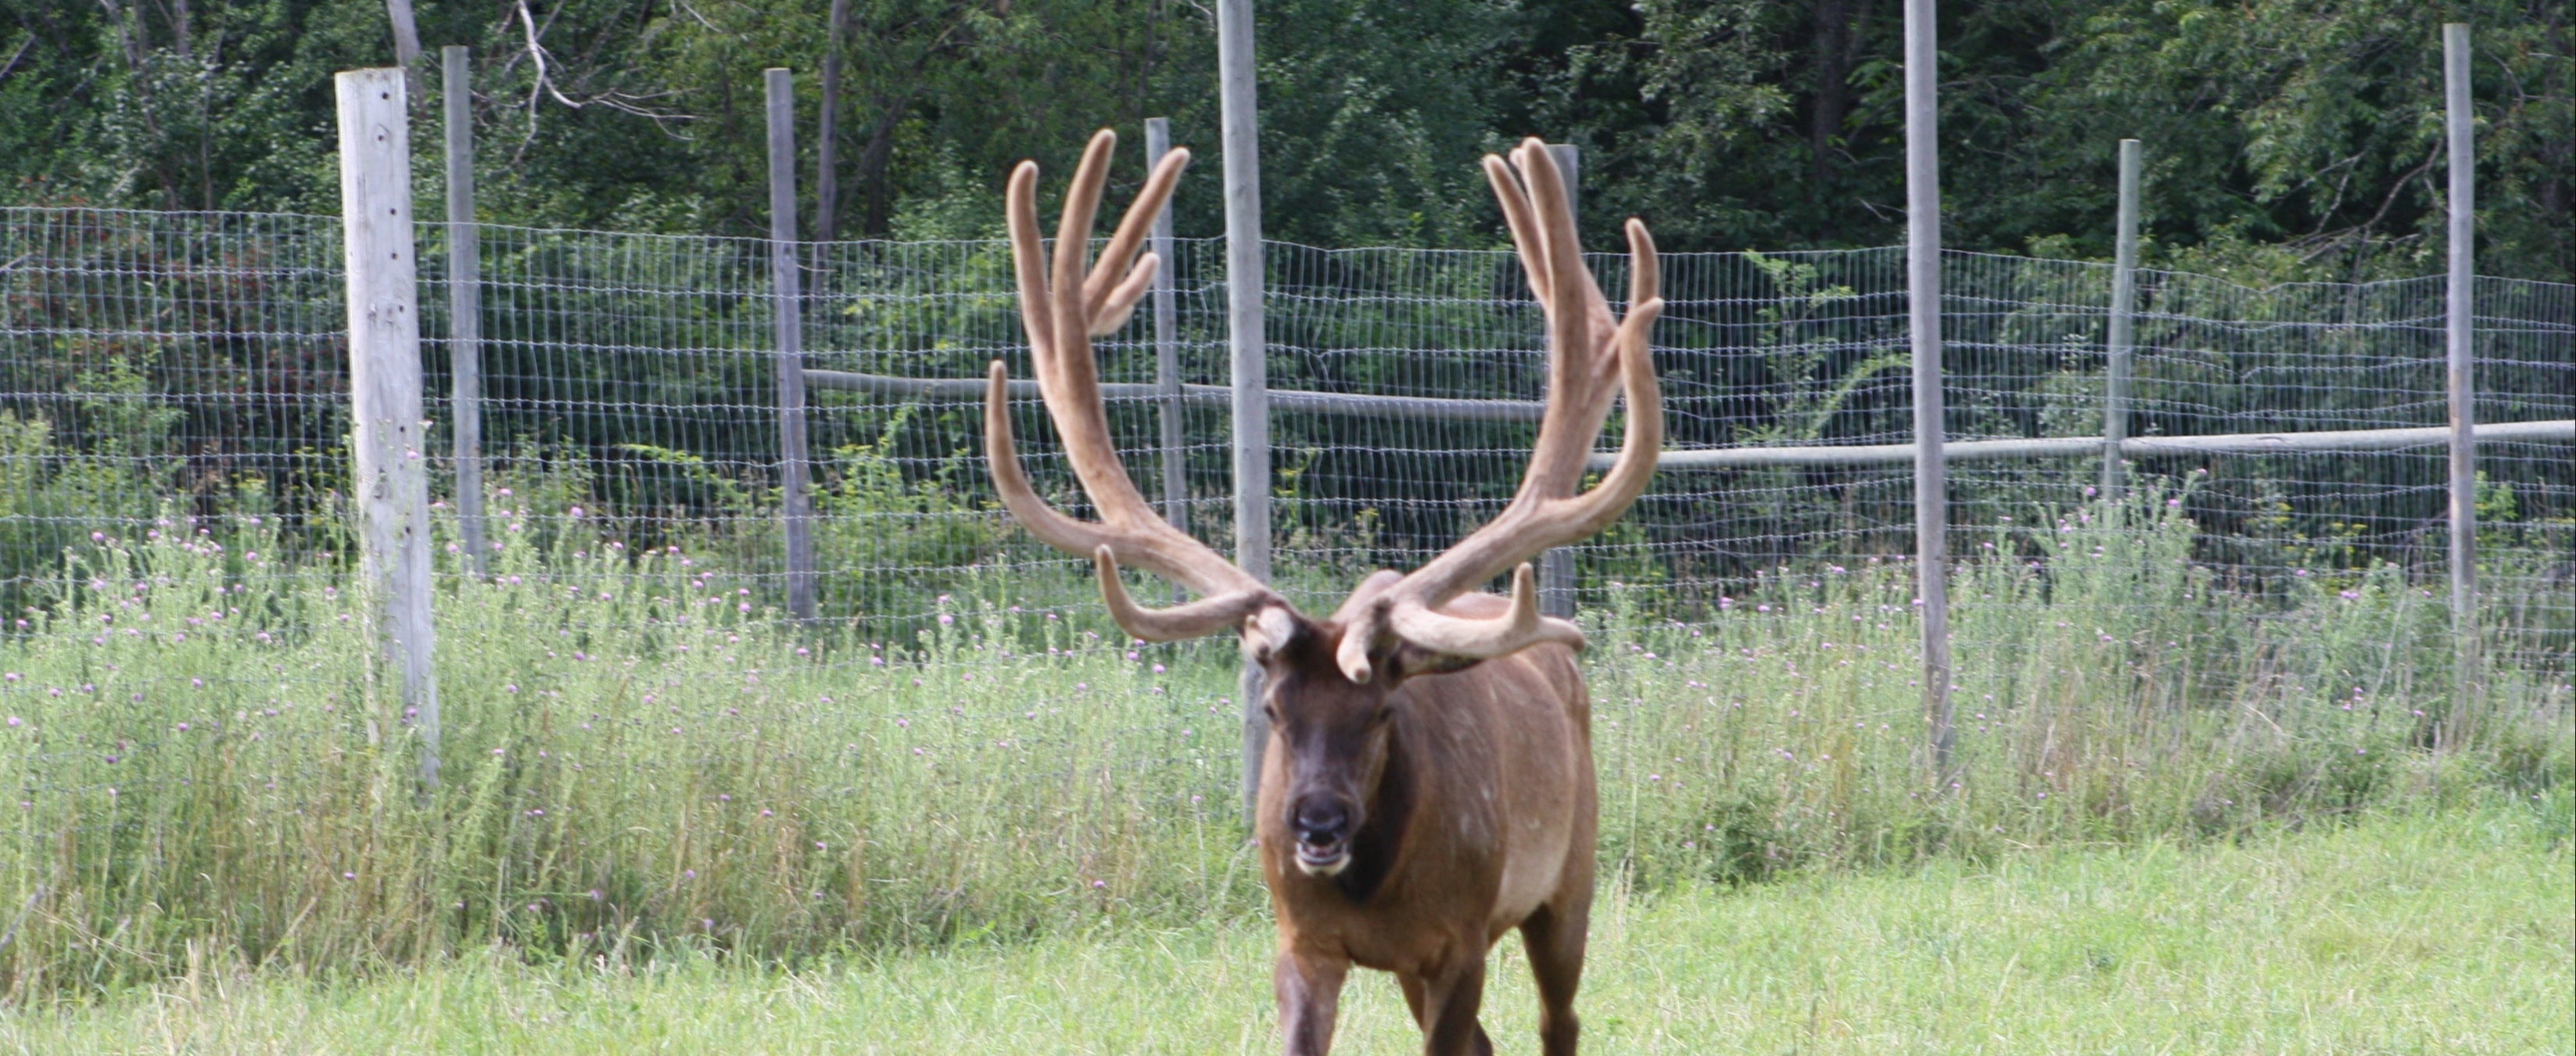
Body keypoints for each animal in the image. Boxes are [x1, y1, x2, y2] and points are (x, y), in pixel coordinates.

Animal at [981, 128, 1661, 1056]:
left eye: (1379, 712)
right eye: (1272, 710)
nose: (1316, 825)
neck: (1375, 890)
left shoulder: (1461, 940)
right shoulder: (1301, 942)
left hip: (1571, 877)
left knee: (1562, 1022)